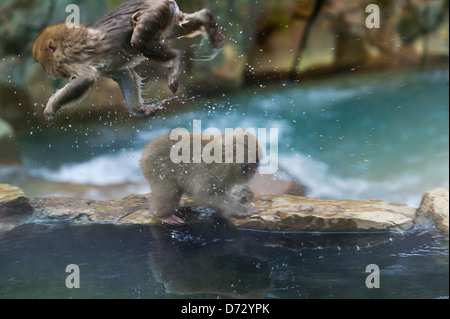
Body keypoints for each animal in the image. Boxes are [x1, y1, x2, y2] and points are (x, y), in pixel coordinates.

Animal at [30, 0, 224, 126]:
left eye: (43, 63)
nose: (46, 71)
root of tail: (162, 1)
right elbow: (121, 73)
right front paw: (137, 109)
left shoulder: (69, 61)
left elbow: (86, 77)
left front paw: (51, 107)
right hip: (166, 15)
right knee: (177, 28)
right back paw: (207, 21)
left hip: (152, 13)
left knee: (138, 39)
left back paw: (175, 59)